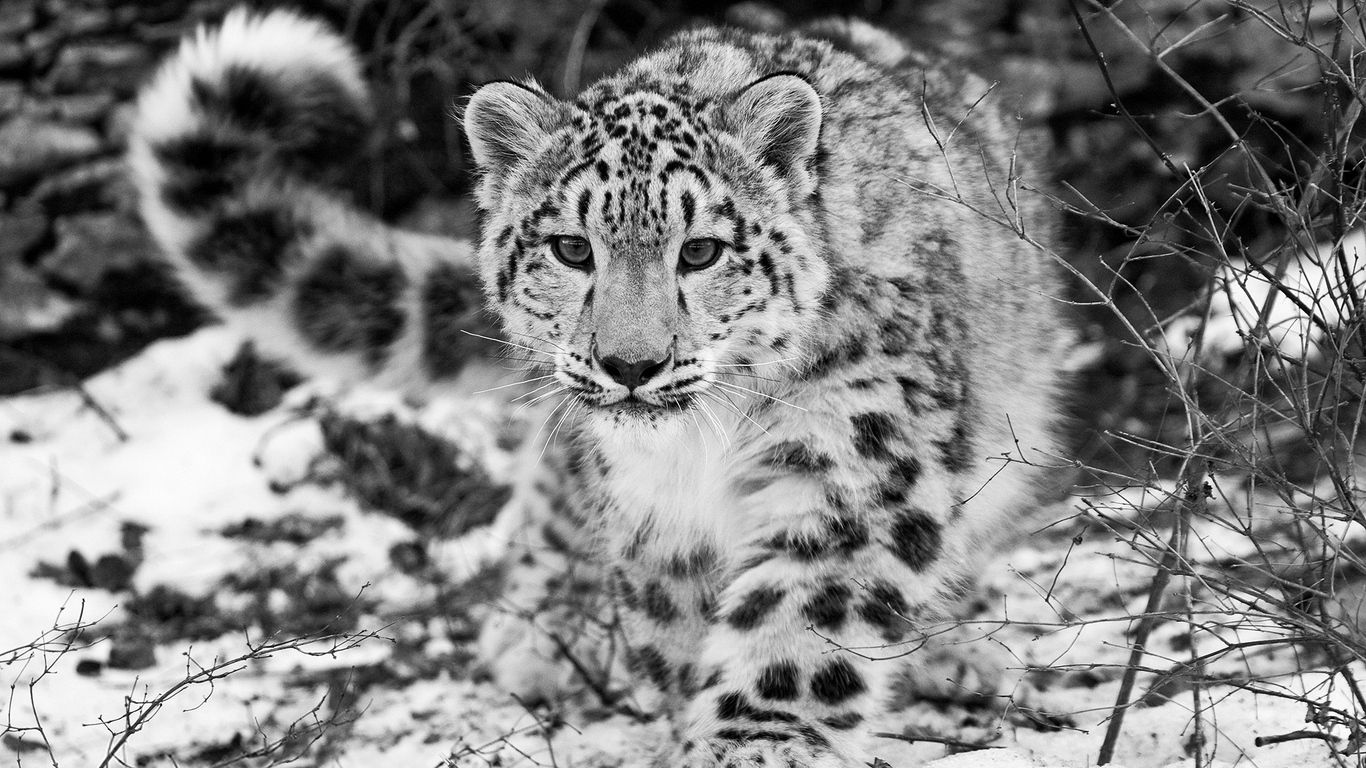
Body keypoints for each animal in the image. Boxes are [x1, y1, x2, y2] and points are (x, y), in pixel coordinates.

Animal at [128, 7, 1067, 766]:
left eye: (702, 250)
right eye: (572, 248)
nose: (630, 364)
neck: (703, 447)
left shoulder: (852, 458)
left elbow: (802, 618)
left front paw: (753, 744)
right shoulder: (655, 515)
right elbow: (680, 626)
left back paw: (955, 652)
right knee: (550, 496)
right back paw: (541, 634)